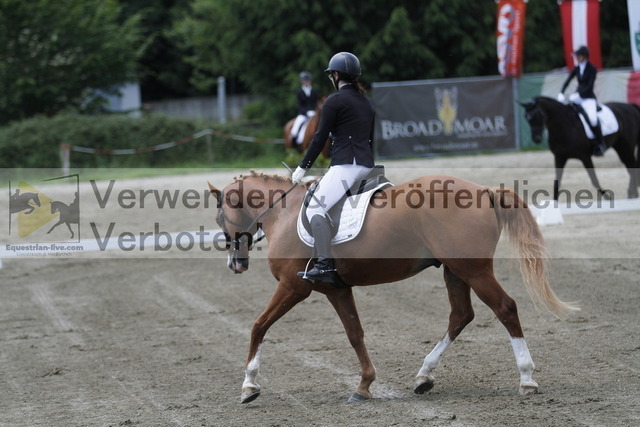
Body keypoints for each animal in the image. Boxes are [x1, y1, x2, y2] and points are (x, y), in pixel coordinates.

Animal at [207, 170, 578, 404]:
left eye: (219, 216)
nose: (235, 264)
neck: (282, 214)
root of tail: (484, 190)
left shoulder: (293, 287)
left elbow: (258, 326)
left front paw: (249, 385)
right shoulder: (336, 289)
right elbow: (355, 334)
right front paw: (364, 385)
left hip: (474, 271)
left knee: (505, 308)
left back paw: (527, 379)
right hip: (456, 271)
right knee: (460, 315)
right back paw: (424, 376)